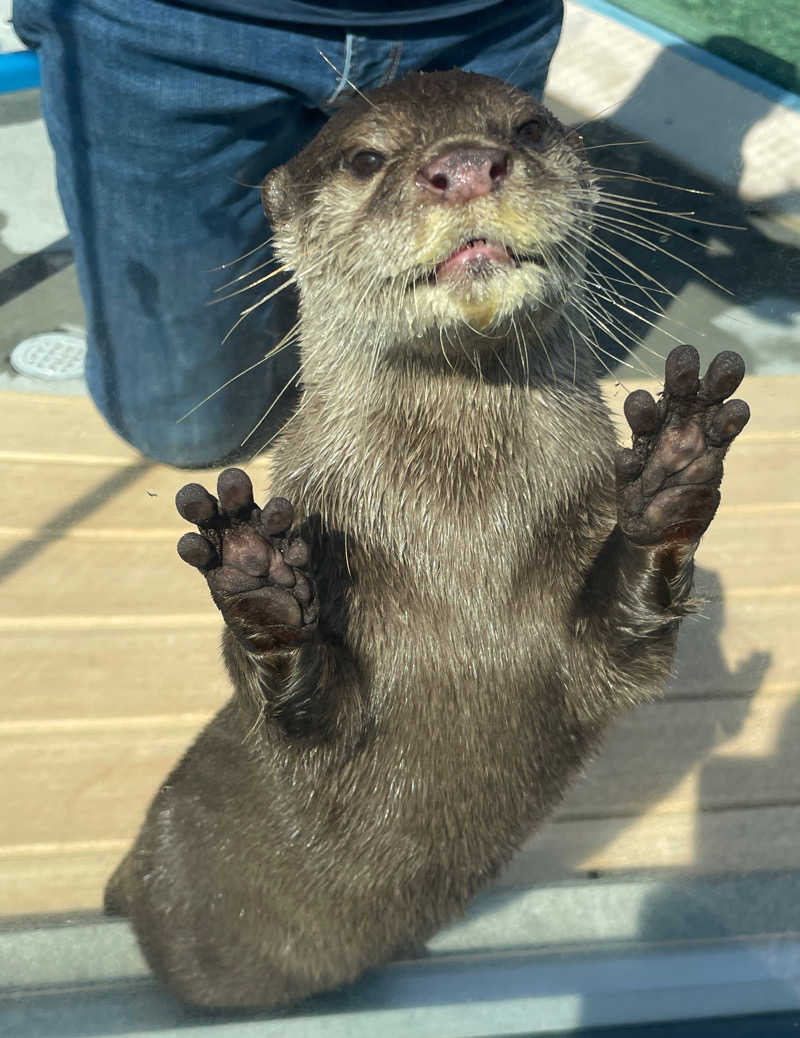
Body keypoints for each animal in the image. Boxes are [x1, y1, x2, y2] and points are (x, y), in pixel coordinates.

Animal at [106, 73, 751, 1013]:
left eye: (528, 126)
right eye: (366, 157)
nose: (466, 166)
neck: (461, 548)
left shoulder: (594, 651)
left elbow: (627, 647)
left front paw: (674, 468)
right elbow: (301, 712)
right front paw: (259, 580)